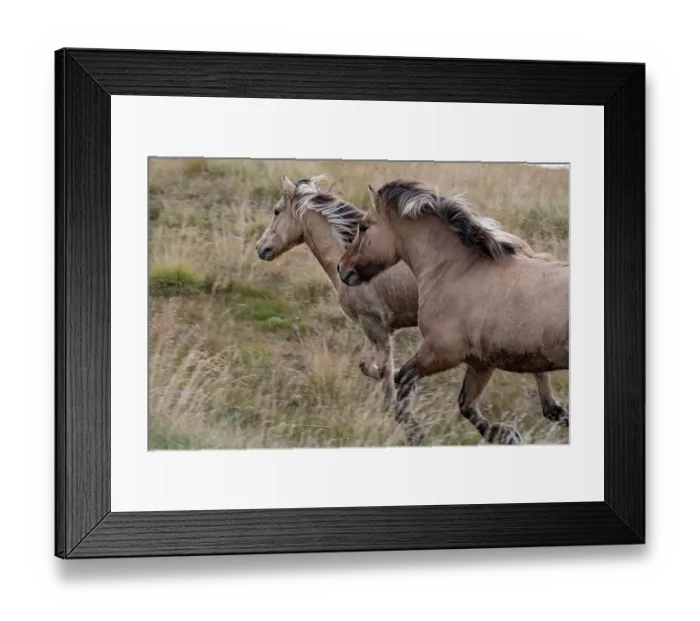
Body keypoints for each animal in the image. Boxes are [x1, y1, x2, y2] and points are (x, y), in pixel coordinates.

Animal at [255, 176, 569, 435]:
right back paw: (553, 411)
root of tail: (524, 249)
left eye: (276, 211)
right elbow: (369, 366)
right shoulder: (379, 330)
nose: (261, 249)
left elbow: (383, 370)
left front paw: (400, 410)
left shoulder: (377, 327)